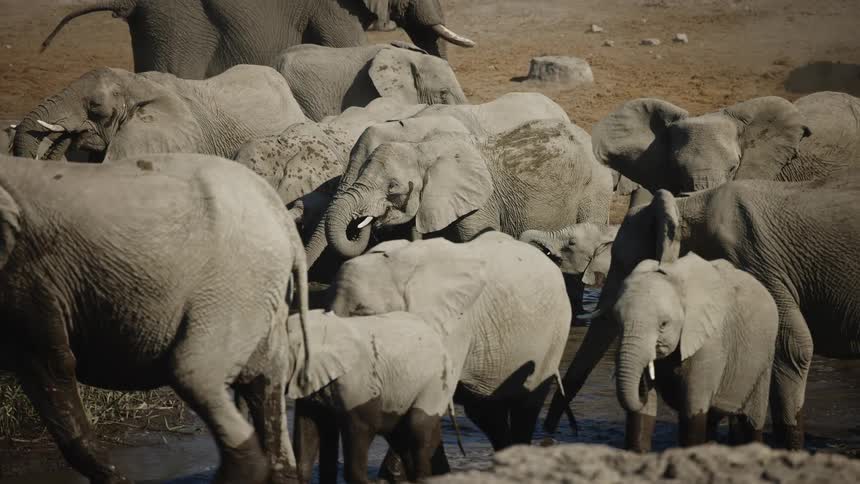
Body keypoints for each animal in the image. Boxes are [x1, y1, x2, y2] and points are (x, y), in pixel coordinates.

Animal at [0, 153, 312, 484]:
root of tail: (283, 219)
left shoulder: (27, 276)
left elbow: (49, 365)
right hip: (258, 290)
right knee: (263, 380)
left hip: (235, 284)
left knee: (195, 373)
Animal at [286, 309, 456, 483]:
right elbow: (308, 429)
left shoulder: (359, 383)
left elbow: (363, 427)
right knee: (400, 437)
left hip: (436, 381)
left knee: (418, 426)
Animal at [613, 254, 779, 448]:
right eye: (617, 321)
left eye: (663, 324)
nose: (643, 389)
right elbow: (642, 417)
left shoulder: (710, 343)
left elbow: (693, 412)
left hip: (765, 359)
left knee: (752, 421)